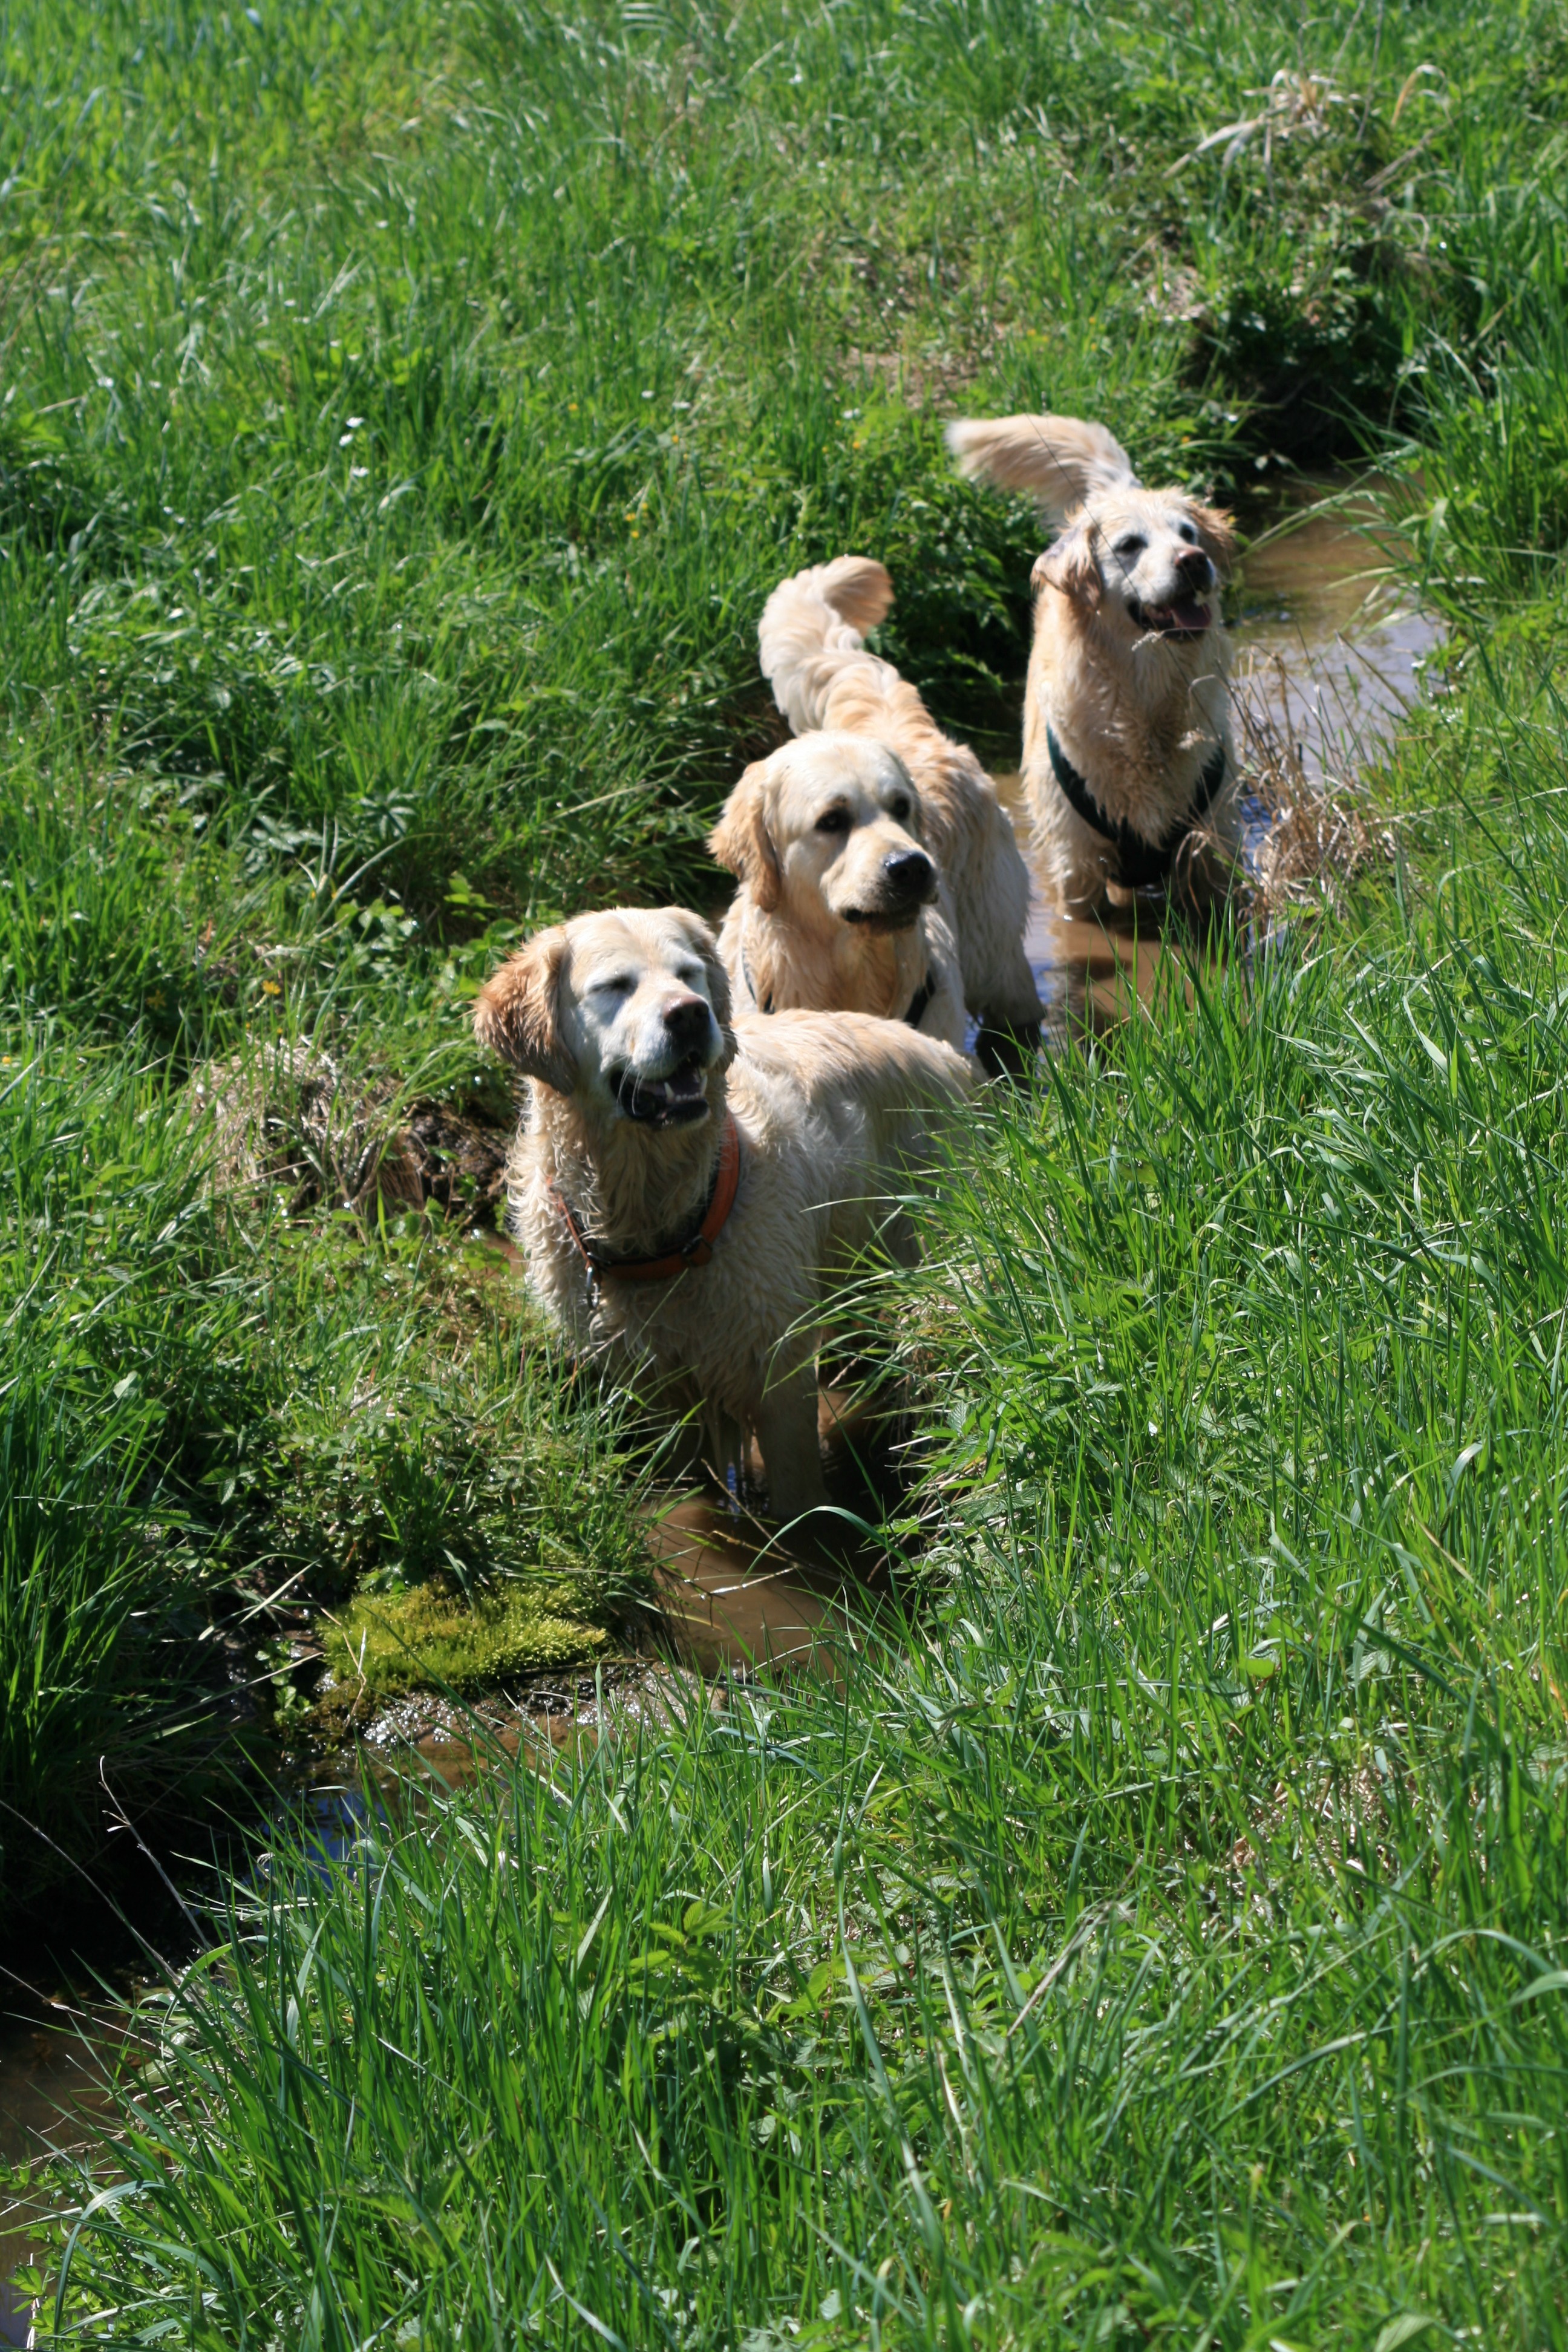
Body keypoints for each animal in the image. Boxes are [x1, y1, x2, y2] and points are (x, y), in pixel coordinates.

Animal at [473, 907, 970, 1523]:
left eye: (689, 974)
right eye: (614, 986)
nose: (690, 1014)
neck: (664, 1223)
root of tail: (946, 1056)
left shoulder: (778, 1375)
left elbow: (799, 1502)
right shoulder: (657, 1385)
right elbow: (685, 1478)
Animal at [946, 413, 1239, 916]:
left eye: (1188, 534)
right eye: (1130, 545)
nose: (1195, 561)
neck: (1146, 704)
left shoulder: (1212, 848)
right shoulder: (1076, 864)